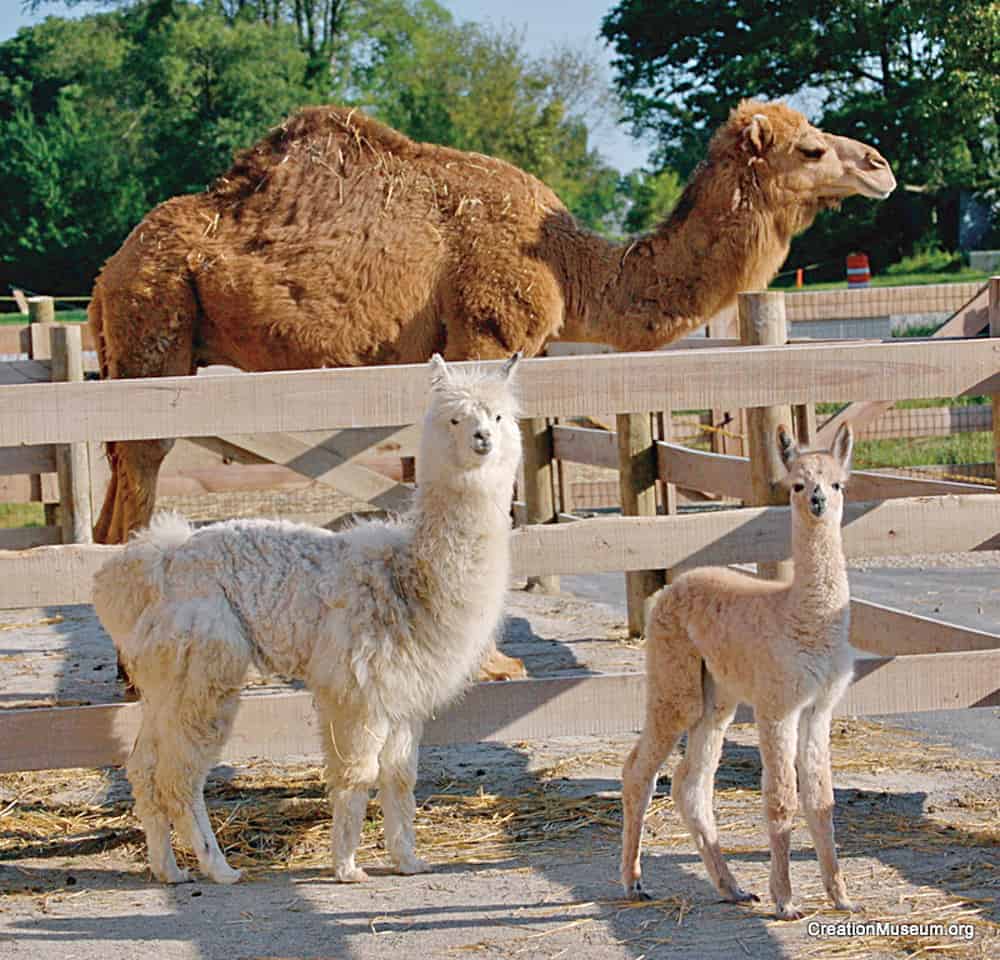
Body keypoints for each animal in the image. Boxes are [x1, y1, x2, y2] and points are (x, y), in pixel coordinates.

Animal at [90, 99, 896, 676]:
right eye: (811, 148)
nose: (881, 165)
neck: (570, 264)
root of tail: (106, 275)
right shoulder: (486, 331)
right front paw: (492, 663)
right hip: (152, 328)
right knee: (138, 486)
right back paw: (136, 674)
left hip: (135, 345)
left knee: (111, 506)